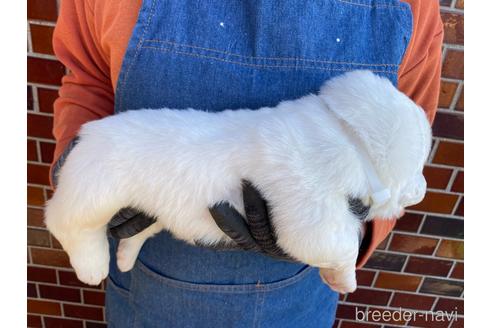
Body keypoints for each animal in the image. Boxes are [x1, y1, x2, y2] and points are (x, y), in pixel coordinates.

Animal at [45, 71, 430, 292]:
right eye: (421, 160)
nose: (423, 188)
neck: (349, 135)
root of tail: (88, 133)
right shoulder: (314, 219)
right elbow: (343, 245)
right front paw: (344, 279)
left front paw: (338, 279)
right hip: (94, 194)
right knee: (66, 224)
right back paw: (92, 266)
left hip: (150, 208)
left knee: (136, 232)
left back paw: (125, 257)